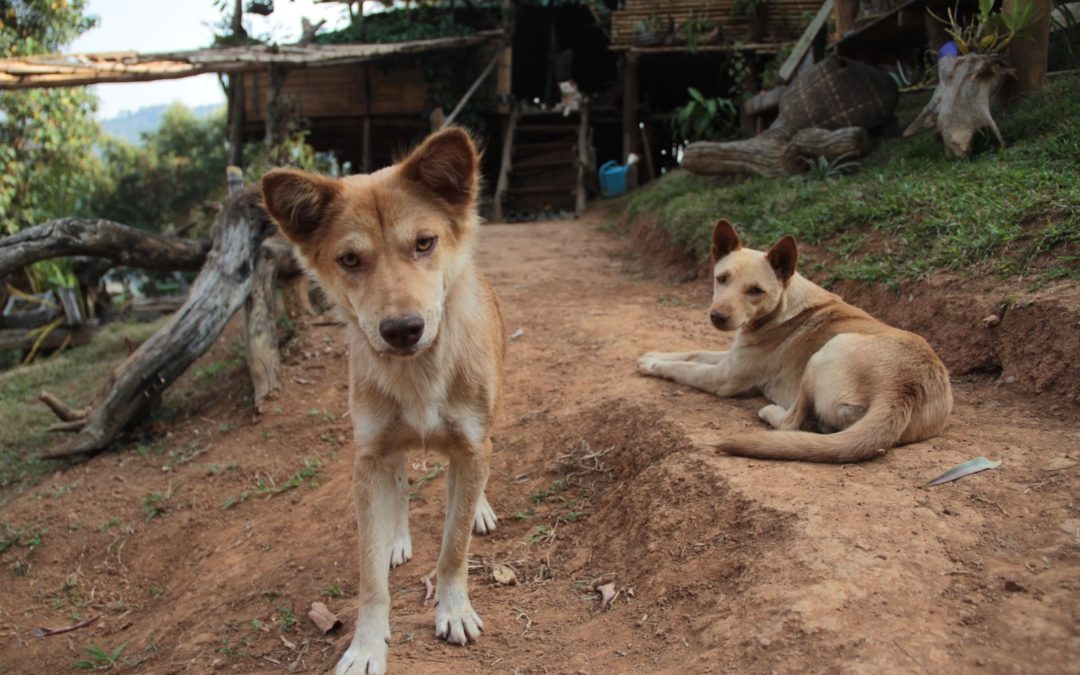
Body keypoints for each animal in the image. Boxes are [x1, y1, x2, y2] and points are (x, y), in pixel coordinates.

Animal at [263, 127, 503, 673]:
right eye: (350, 259)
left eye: (424, 243)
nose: (401, 330)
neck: (418, 375)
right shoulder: (369, 458)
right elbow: (370, 576)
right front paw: (366, 645)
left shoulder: (472, 444)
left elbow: (453, 547)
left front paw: (453, 609)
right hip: (387, 451)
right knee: (400, 487)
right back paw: (397, 536)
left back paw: (478, 507)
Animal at [635, 218, 950, 460]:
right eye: (722, 278)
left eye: (755, 291)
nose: (718, 317)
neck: (784, 304)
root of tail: (902, 389)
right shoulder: (732, 356)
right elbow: (691, 352)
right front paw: (652, 355)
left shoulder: (723, 378)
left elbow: (684, 368)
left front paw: (653, 366)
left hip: (826, 351)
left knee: (790, 422)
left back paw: (772, 411)